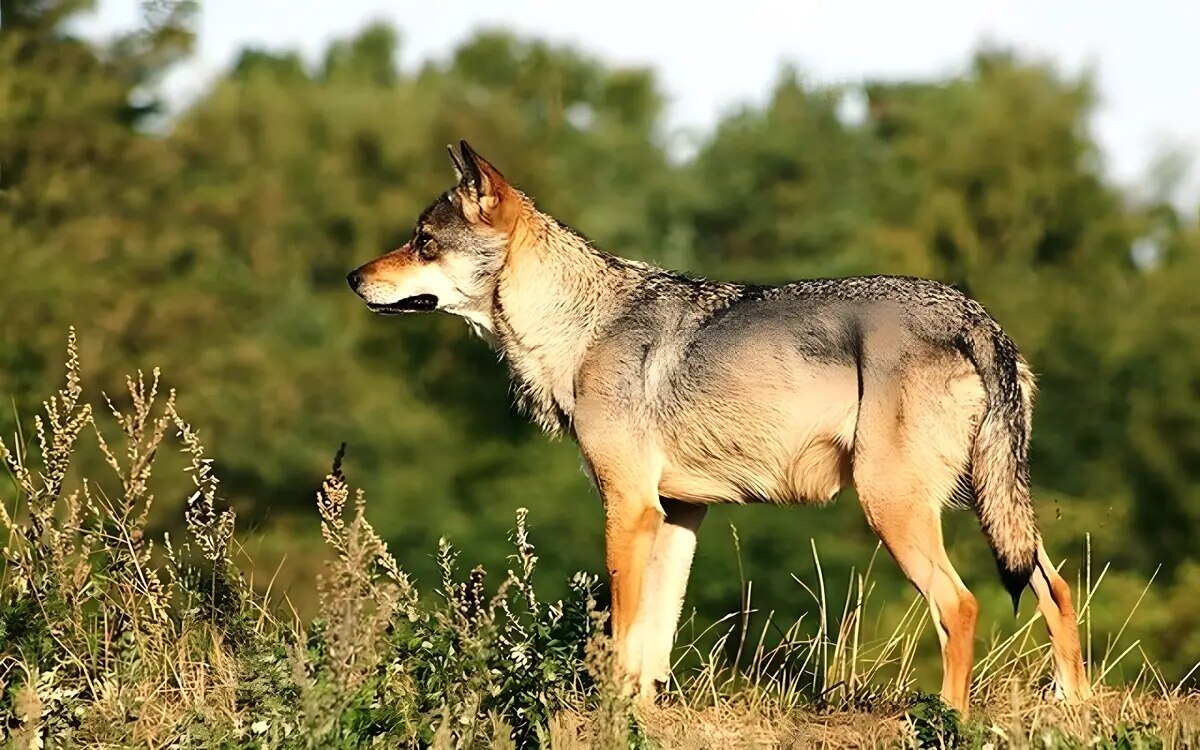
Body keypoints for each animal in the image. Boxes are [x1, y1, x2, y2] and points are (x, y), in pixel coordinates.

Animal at [345, 141, 1089, 715]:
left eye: (422, 243)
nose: (352, 277)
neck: (578, 327)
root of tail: (975, 316)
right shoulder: (678, 514)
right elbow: (655, 639)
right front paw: (642, 712)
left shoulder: (629, 508)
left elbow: (624, 630)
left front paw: (612, 713)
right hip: (989, 506)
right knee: (1056, 589)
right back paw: (1073, 704)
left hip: (895, 508)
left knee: (961, 606)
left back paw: (950, 718)